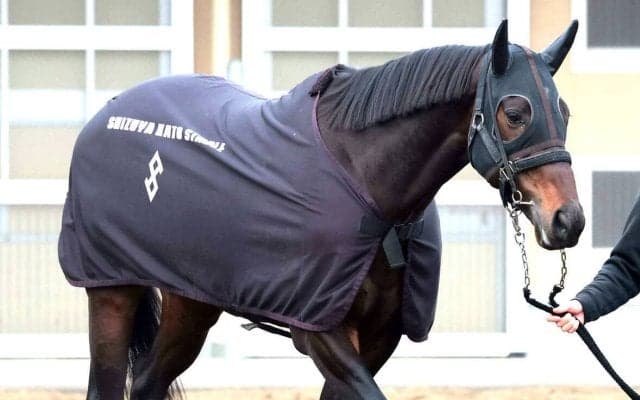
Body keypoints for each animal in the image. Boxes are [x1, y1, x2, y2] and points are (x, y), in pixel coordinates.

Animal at [58, 19, 585, 399]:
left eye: (565, 112)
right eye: (514, 113)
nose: (568, 220)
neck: (368, 185)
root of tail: (108, 109)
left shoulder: (379, 337)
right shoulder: (321, 331)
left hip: (192, 302)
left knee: (149, 381)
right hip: (111, 294)